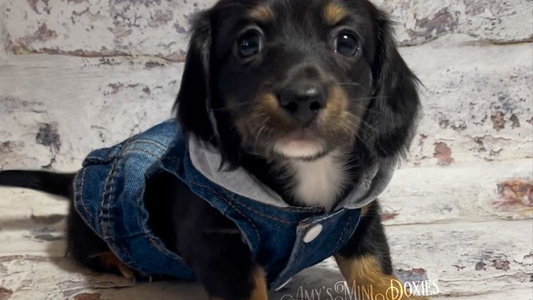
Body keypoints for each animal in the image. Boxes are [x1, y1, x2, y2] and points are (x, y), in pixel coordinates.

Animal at [0, 0, 424, 300]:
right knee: (82, 248)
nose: (302, 98)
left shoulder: (361, 219)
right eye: (248, 43)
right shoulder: (219, 242)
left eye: (347, 41)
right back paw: (122, 262)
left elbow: (376, 274)